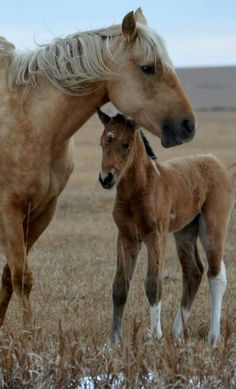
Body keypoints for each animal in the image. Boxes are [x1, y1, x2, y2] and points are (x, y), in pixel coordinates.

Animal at [0, 8, 195, 324]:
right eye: (147, 68)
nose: (188, 125)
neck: (30, 119)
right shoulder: (9, 210)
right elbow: (20, 277)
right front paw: (28, 335)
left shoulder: (42, 211)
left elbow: (9, 276)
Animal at [97, 109, 234, 346]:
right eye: (103, 142)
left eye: (126, 144)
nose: (106, 178)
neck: (139, 190)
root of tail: (216, 162)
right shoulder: (126, 236)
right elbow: (120, 287)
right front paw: (113, 341)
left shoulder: (156, 236)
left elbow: (154, 284)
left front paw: (155, 337)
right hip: (185, 232)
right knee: (194, 271)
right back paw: (177, 333)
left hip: (212, 226)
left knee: (216, 274)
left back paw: (214, 336)